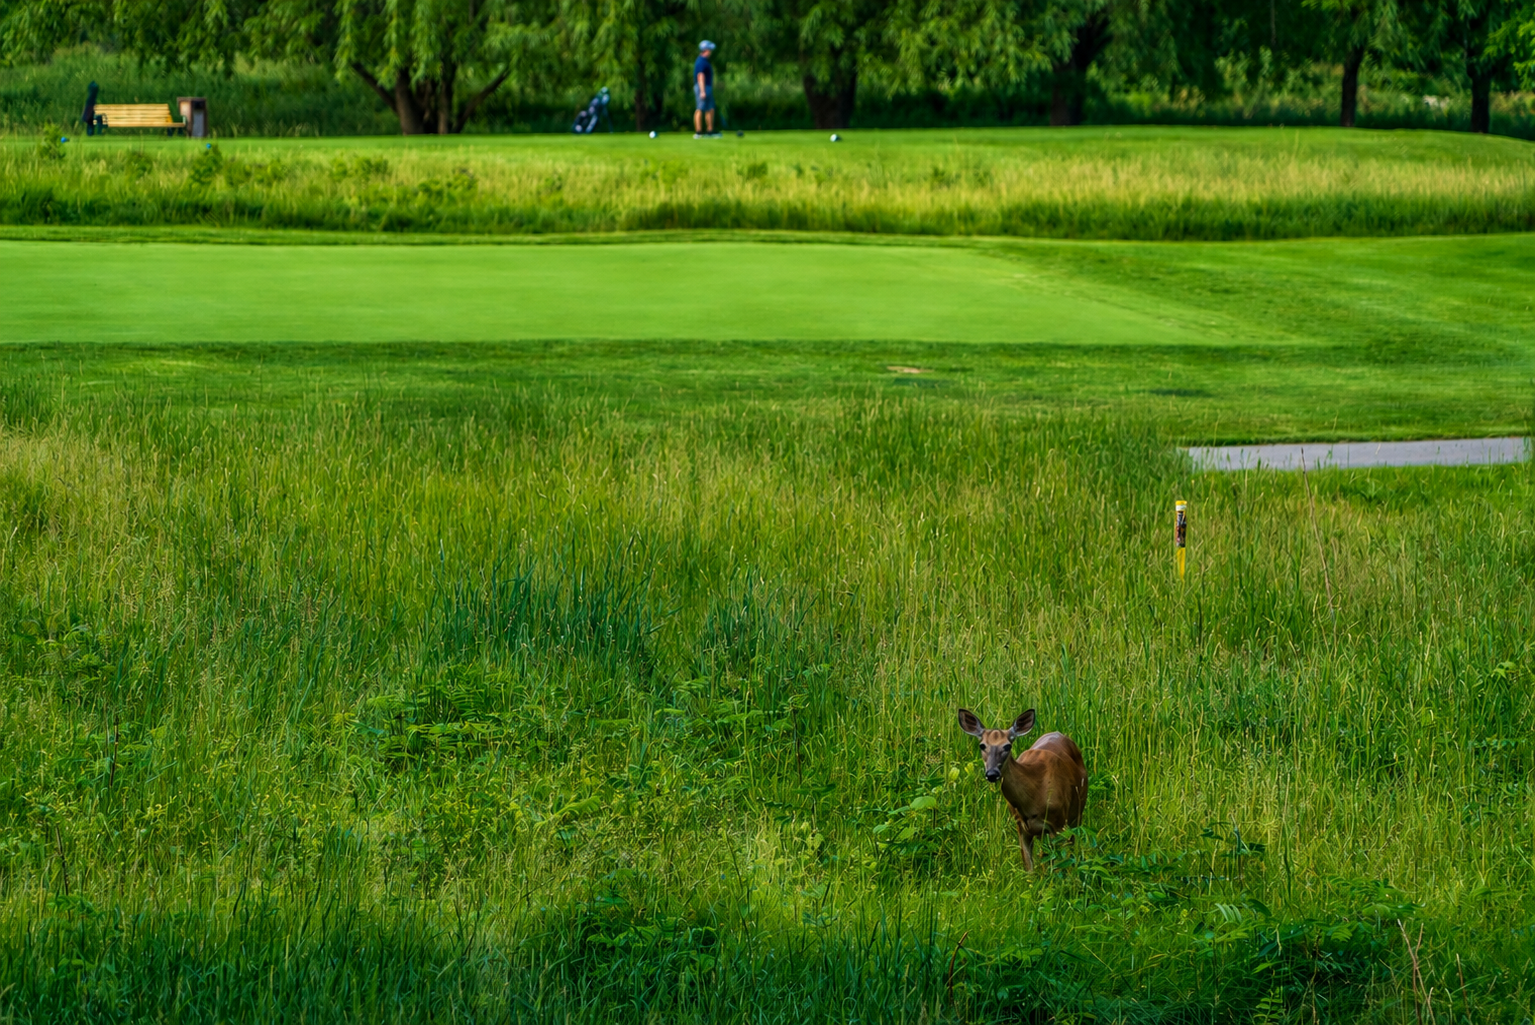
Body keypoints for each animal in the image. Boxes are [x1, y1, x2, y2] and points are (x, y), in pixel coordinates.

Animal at [957, 707, 1087, 871]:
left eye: (1007, 746)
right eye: (982, 745)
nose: (992, 774)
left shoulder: (1058, 824)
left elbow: (1059, 864)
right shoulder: (1021, 826)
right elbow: (1029, 868)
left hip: (1077, 812)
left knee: (1073, 845)